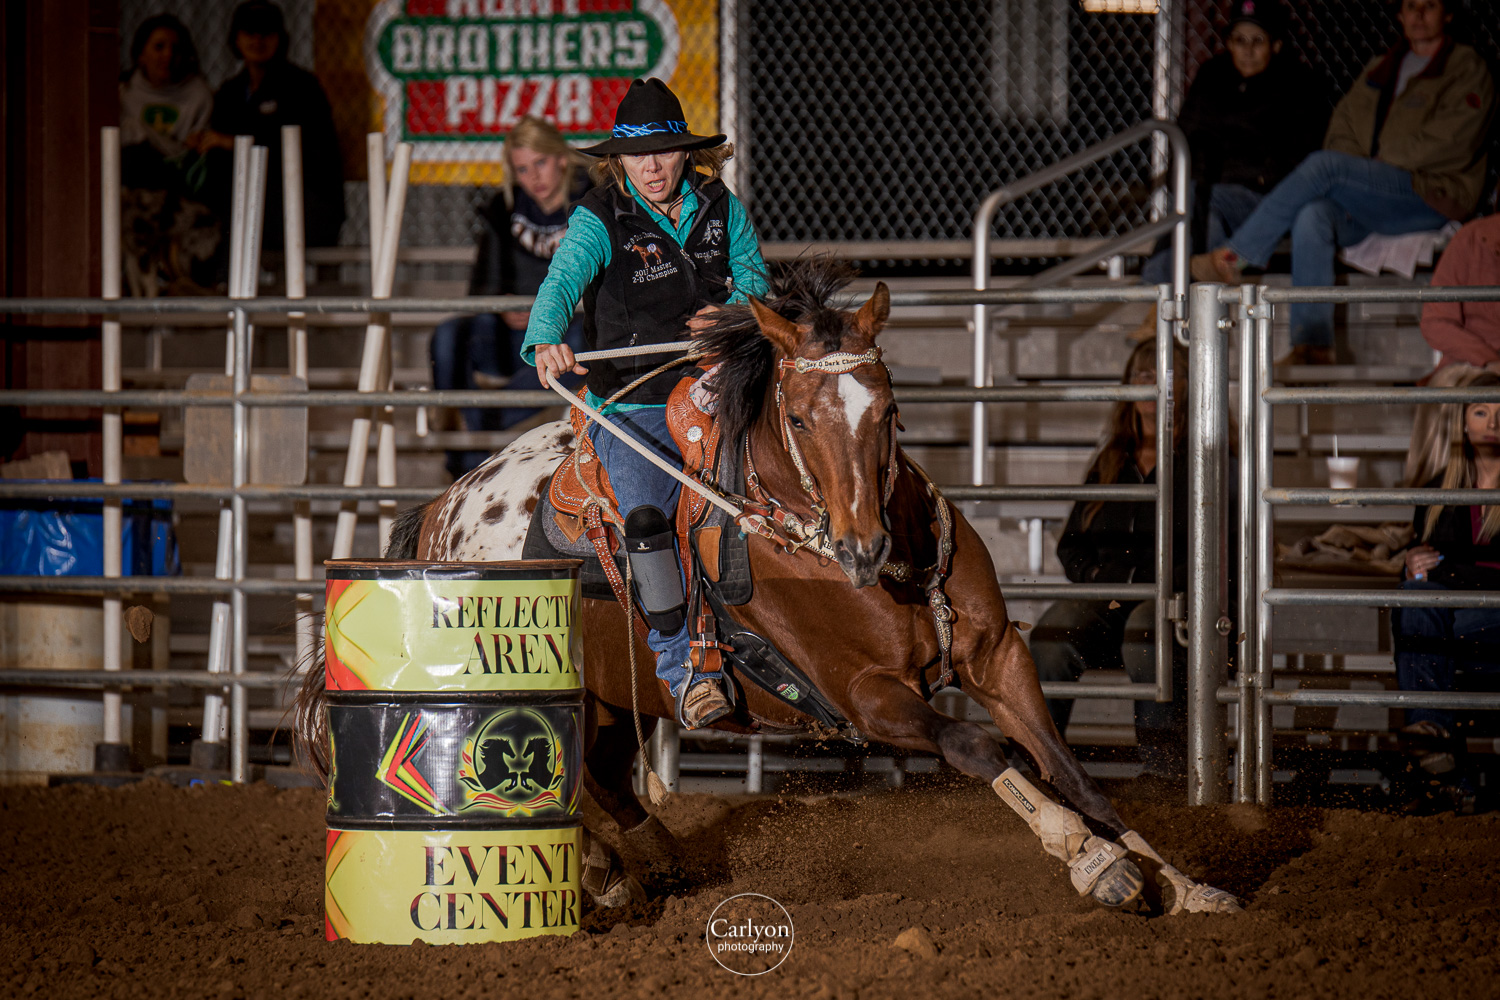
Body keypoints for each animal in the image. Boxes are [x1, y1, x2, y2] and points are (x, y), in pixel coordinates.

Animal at [296, 261, 1238, 916]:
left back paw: (643, 868)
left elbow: (1071, 769)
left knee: (604, 778)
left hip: (612, 694)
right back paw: (608, 874)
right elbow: (978, 748)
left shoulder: (1000, 657)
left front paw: (1189, 885)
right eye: (798, 417)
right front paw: (1092, 861)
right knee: (556, 778)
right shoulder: (864, 697)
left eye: (888, 409)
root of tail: (447, 505)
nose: (861, 546)